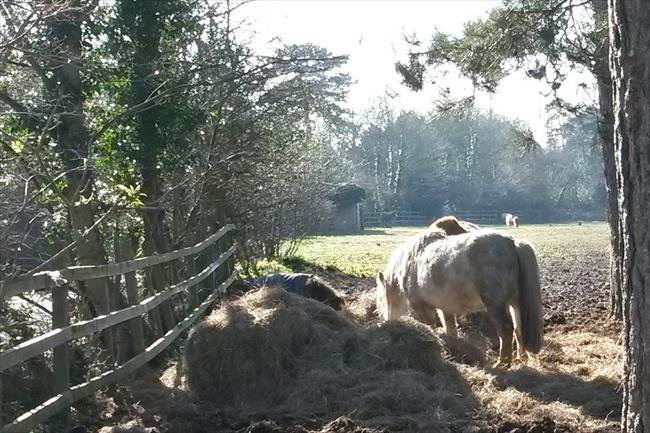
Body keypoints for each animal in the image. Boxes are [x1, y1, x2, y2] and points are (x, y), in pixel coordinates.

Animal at [374, 226, 540, 364]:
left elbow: (430, 327)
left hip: (495, 303)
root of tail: (512, 243)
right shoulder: (445, 308)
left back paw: (503, 363)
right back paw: (521, 358)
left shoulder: (422, 306)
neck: (411, 261)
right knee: (519, 329)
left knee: (506, 329)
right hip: (515, 303)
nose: (385, 322)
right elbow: (451, 330)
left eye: (381, 300)